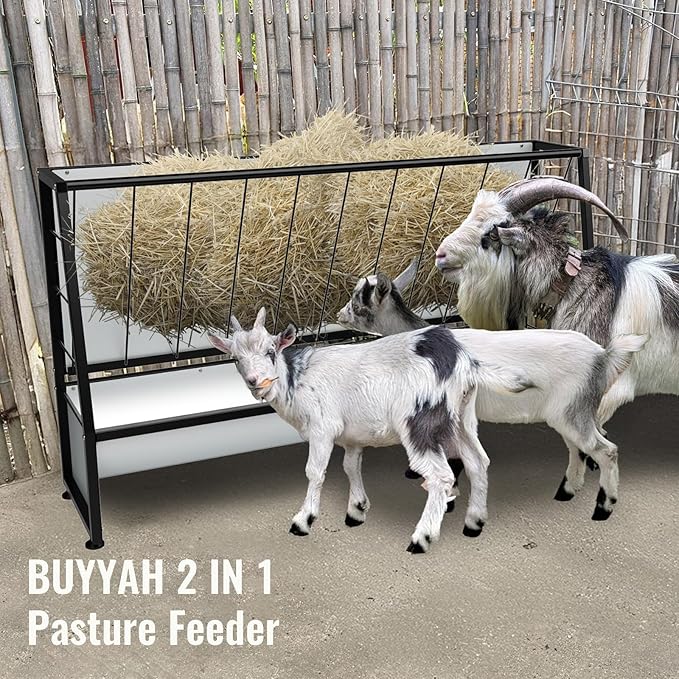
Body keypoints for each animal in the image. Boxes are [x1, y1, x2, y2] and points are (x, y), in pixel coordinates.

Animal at [208, 307, 533, 553]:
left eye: (271, 351)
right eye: (235, 358)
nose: (256, 382)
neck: (297, 380)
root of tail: (464, 361)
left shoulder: (323, 427)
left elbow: (315, 471)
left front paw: (303, 520)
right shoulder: (352, 436)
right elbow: (351, 466)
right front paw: (356, 509)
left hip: (420, 420)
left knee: (440, 475)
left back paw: (422, 537)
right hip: (459, 418)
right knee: (478, 461)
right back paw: (474, 522)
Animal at [337, 265, 647, 514]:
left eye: (358, 300)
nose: (340, 315)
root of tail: (603, 356)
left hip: (573, 411)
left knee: (606, 451)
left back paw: (605, 504)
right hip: (568, 414)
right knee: (578, 448)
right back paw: (568, 490)